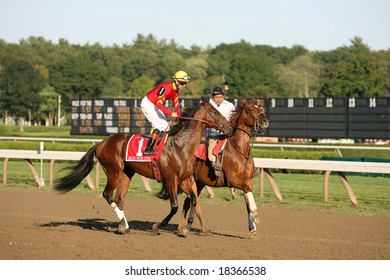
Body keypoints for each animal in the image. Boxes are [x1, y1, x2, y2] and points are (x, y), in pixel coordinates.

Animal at [54, 97, 232, 235]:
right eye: (215, 111)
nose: (229, 126)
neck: (180, 146)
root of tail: (101, 143)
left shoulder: (183, 180)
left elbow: (193, 200)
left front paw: (187, 227)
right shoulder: (170, 179)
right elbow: (174, 206)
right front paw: (158, 226)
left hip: (126, 174)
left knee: (119, 199)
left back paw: (123, 226)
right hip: (113, 171)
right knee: (107, 194)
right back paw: (123, 224)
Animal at [180, 99, 268, 237]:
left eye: (259, 108)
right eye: (250, 109)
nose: (265, 121)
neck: (240, 151)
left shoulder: (248, 181)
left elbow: (247, 201)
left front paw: (253, 228)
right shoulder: (234, 181)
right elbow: (248, 194)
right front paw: (255, 215)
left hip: (199, 183)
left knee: (187, 202)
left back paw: (185, 228)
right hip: (189, 180)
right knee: (192, 201)